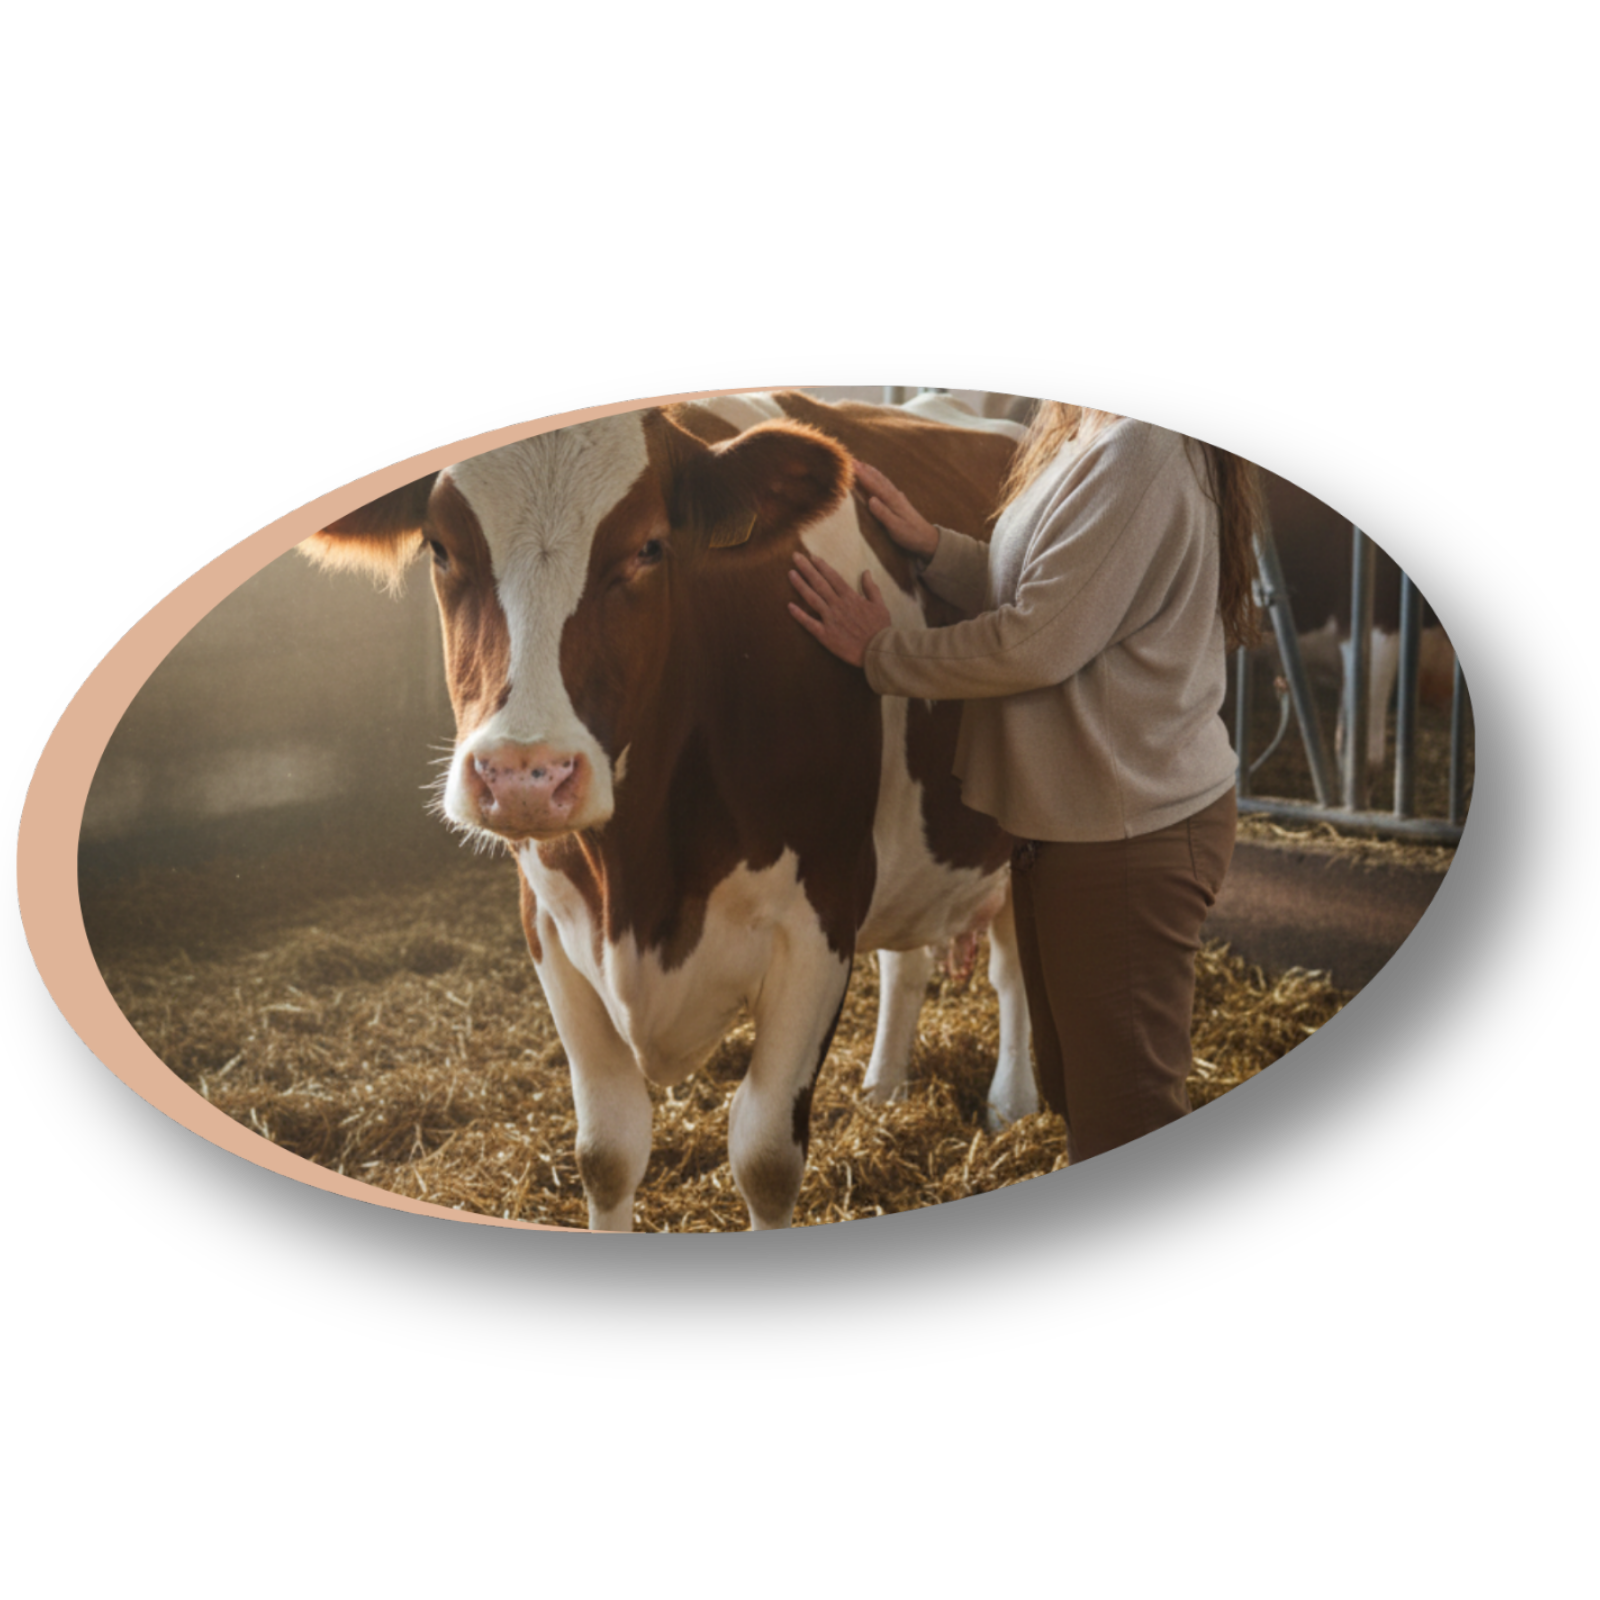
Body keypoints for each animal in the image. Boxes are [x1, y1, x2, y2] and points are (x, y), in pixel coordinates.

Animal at [302, 391, 1036, 1231]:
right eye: (440, 547)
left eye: (651, 547)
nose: (524, 776)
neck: (637, 872)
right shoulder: (549, 922)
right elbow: (606, 1151)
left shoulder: (817, 916)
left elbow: (766, 1157)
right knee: (907, 960)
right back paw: (884, 1090)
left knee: (1013, 969)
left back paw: (1014, 1101)